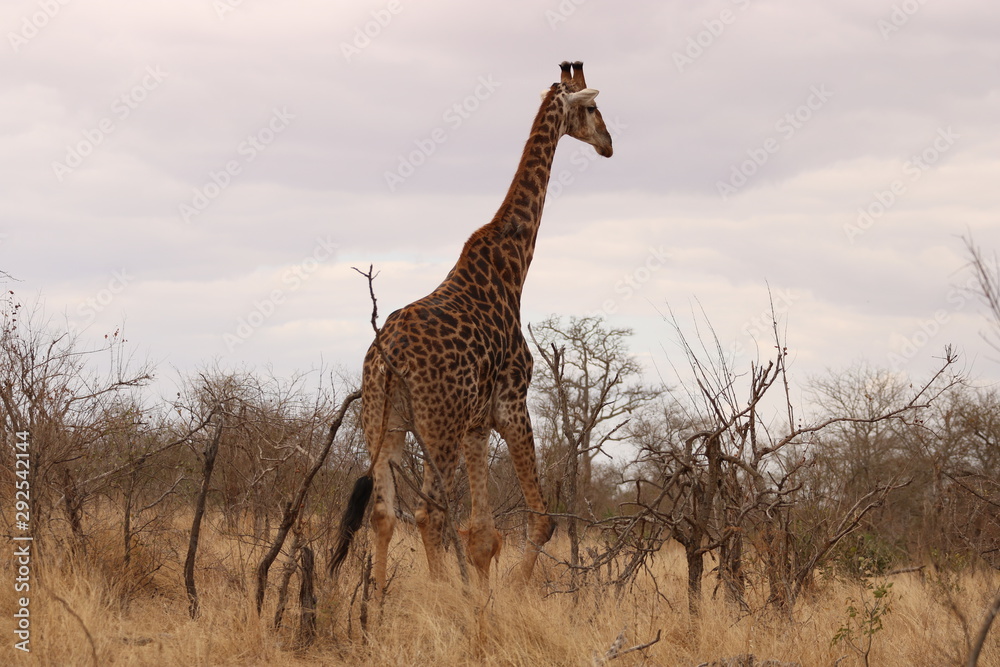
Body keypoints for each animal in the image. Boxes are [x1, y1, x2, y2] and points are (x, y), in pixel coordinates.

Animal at [331, 61, 613, 593]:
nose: (608, 143)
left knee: (384, 513)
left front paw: (484, 595)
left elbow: (482, 531)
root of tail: (385, 360)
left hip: (383, 422)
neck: (512, 265)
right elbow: (539, 521)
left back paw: (376, 601)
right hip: (436, 425)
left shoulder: (477, 422)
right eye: (591, 107)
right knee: (428, 513)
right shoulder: (511, 403)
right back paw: (439, 597)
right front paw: (509, 594)